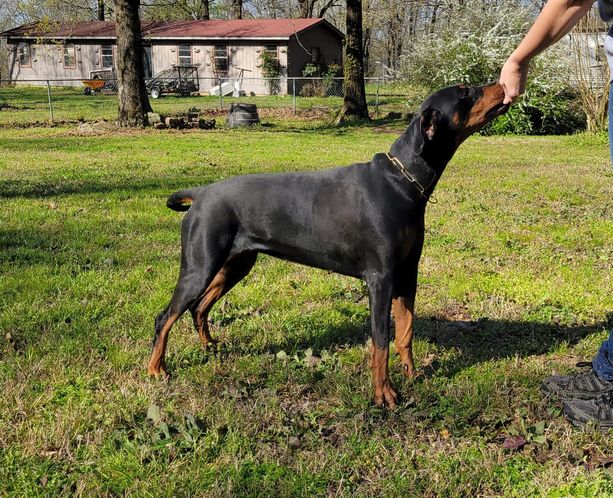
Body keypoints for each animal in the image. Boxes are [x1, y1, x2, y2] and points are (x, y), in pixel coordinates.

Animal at [148, 82, 509, 408]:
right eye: (464, 92)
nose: (502, 85)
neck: (402, 180)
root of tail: (200, 194)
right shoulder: (381, 279)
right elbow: (381, 341)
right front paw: (384, 395)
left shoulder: (408, 274)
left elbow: (405, 332)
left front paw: (412, 375)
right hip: (200, 266)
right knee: (165, 316)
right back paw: (156, 370)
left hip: (236, 264)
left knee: (199, 307)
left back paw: (210, 347)